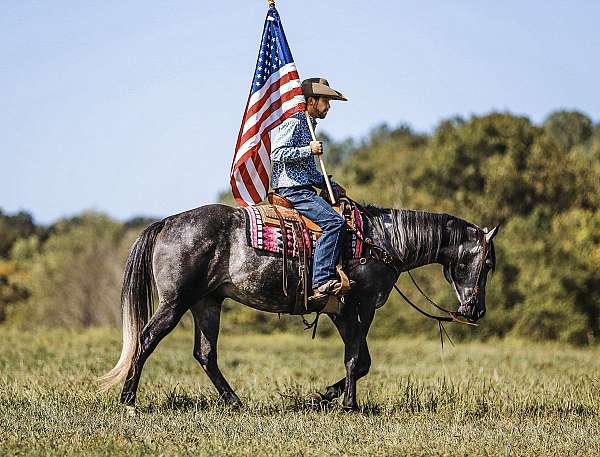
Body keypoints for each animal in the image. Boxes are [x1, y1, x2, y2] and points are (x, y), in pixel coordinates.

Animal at [101, 202, 500, 410]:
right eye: (487, 264)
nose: (476, 311)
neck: (380, 241)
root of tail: (167, 221)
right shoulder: (362, 307)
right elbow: (356, 359)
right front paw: (349, 406)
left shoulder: (341, 312)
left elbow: (362, 362)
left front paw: (326, 396)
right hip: (175, 302)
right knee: (146, 340)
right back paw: (128, 399)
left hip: (206, 303)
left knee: (205, 354)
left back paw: (235, 402)